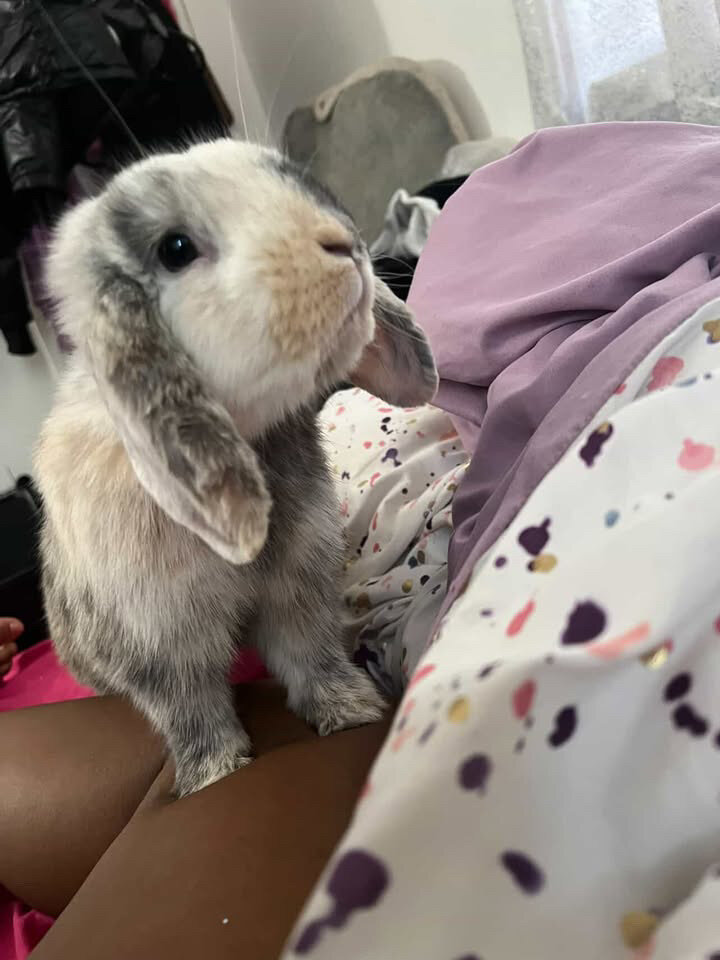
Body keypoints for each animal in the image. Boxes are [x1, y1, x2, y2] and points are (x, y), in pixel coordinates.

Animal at [35, 139, 438, 797]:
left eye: (287, 177)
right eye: (174, 248)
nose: (343, 243)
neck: (251, 443)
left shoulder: (297, 590)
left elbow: (311, 656)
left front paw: (355, 710)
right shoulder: (165, 644)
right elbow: (192, 710)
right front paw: (214, 775)